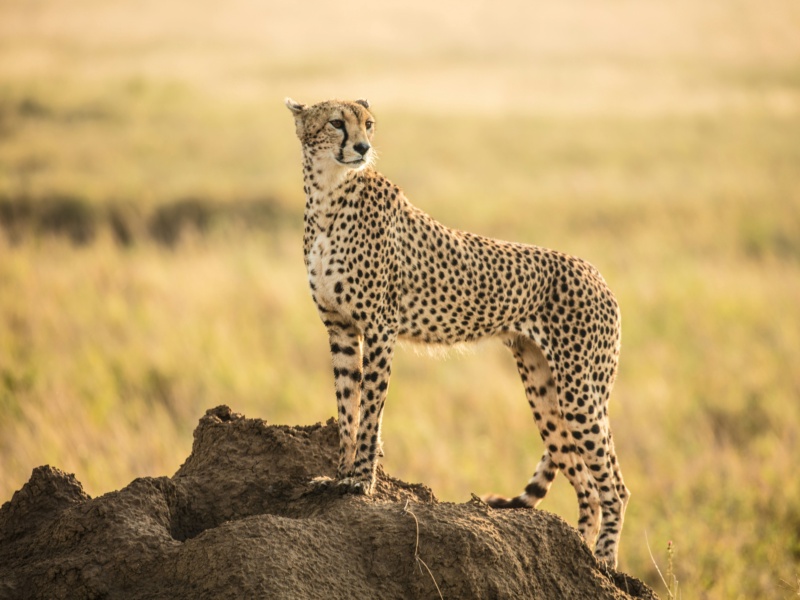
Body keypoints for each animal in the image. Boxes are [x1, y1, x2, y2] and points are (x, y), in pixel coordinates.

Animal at [285, 97, 630, 568]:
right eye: (337, 123)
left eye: (369, 124)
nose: (361, 147)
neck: (327, 193)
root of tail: (594, 271)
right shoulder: (339, 328)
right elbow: (347, 408)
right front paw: (339, 476)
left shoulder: (379, 327)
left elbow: (370, 410)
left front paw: (361, 481)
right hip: (546, 391)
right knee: (586, 483)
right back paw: (579, 553)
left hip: (580, 391)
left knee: (614, 485)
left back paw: (604, 562)